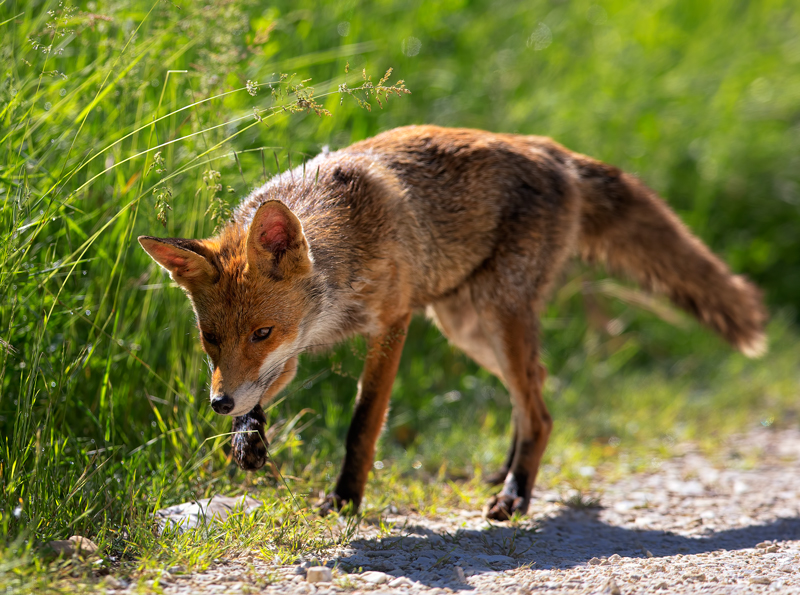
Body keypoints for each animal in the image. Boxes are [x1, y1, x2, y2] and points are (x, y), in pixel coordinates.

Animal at [141, 125, 764, 520]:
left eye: (261, 332)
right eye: (210, 339)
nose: (217, 405)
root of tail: (553, 150)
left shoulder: (391, 322)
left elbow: (363, 426)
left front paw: (344, 501)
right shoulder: (291, 353)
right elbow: (261, 397)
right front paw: (247, 440)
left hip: (496, 314)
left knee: (539, 411)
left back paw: (515, 496)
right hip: (467, 327)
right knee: (535, 391)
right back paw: (508, 472)